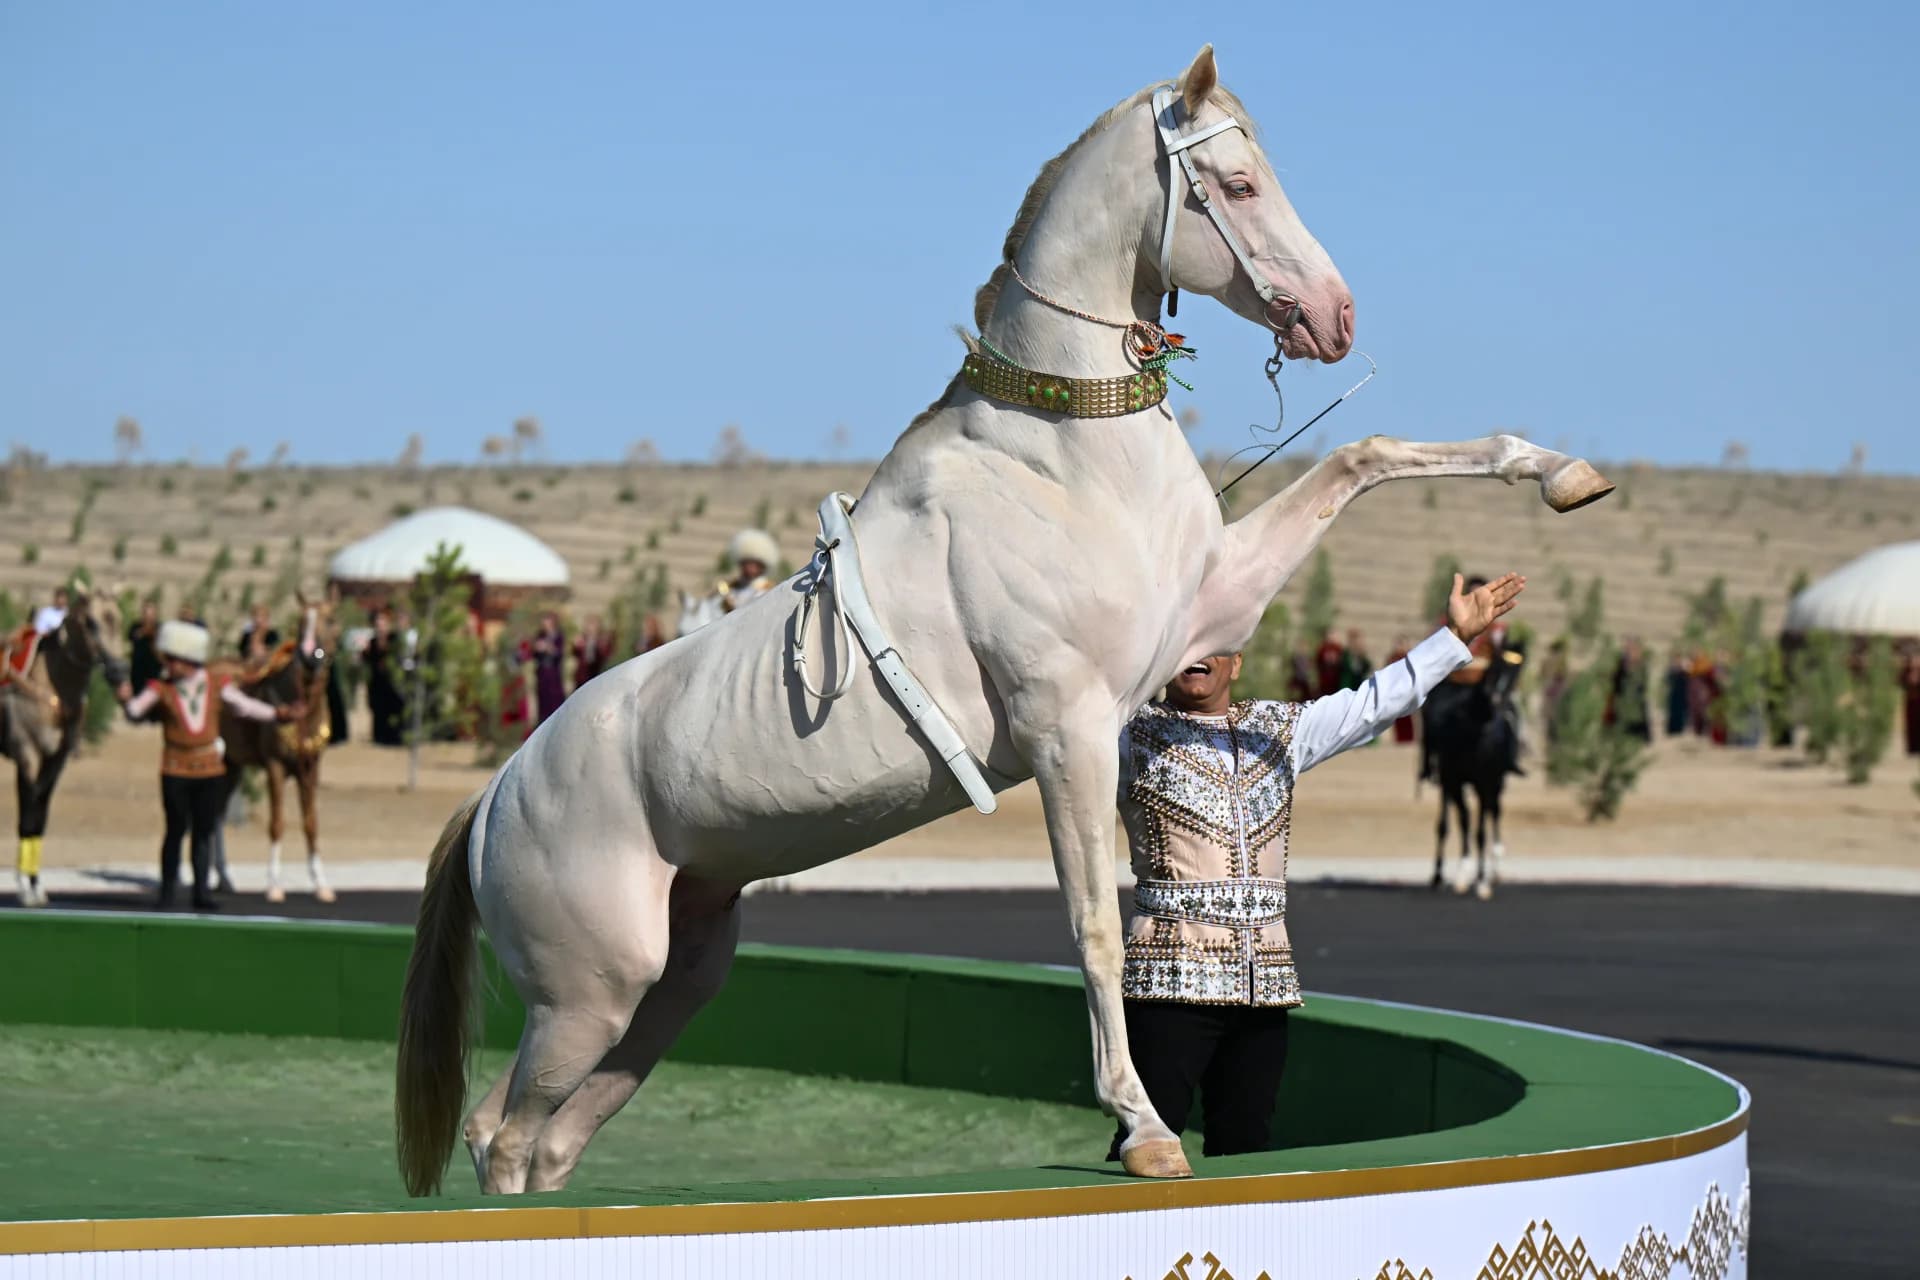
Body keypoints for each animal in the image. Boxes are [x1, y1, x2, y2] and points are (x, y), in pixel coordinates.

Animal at [1, 586, 126, 907]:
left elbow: (40, 818)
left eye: (118, 619)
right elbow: (27, 816)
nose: (119, 670)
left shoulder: (56, 760)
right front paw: (24, 887)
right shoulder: (27, 754)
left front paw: (36, 885)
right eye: (91, 622)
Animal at [216, 596, 339, 904]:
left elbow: (311, 823)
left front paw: (321, 884)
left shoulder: (311, 768)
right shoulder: (274, 766)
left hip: (231, 765)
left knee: (214, 820)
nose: (310, 657)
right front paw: (273, 884)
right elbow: (278, 822)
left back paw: (223, 878)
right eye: (301, 621)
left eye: (331, 620)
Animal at [1422, 642, 1525, 900]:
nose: (1496, 701)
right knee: (1456, 820)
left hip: (1494, 784)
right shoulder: (1454, 780)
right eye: (1496, 664)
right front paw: (1460, 874)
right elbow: (1462, 823)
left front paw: (1481, 880)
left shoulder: (1487, 782)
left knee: (1494, 814)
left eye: (1518, 670)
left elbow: (1480, 830)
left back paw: (1494, 867)